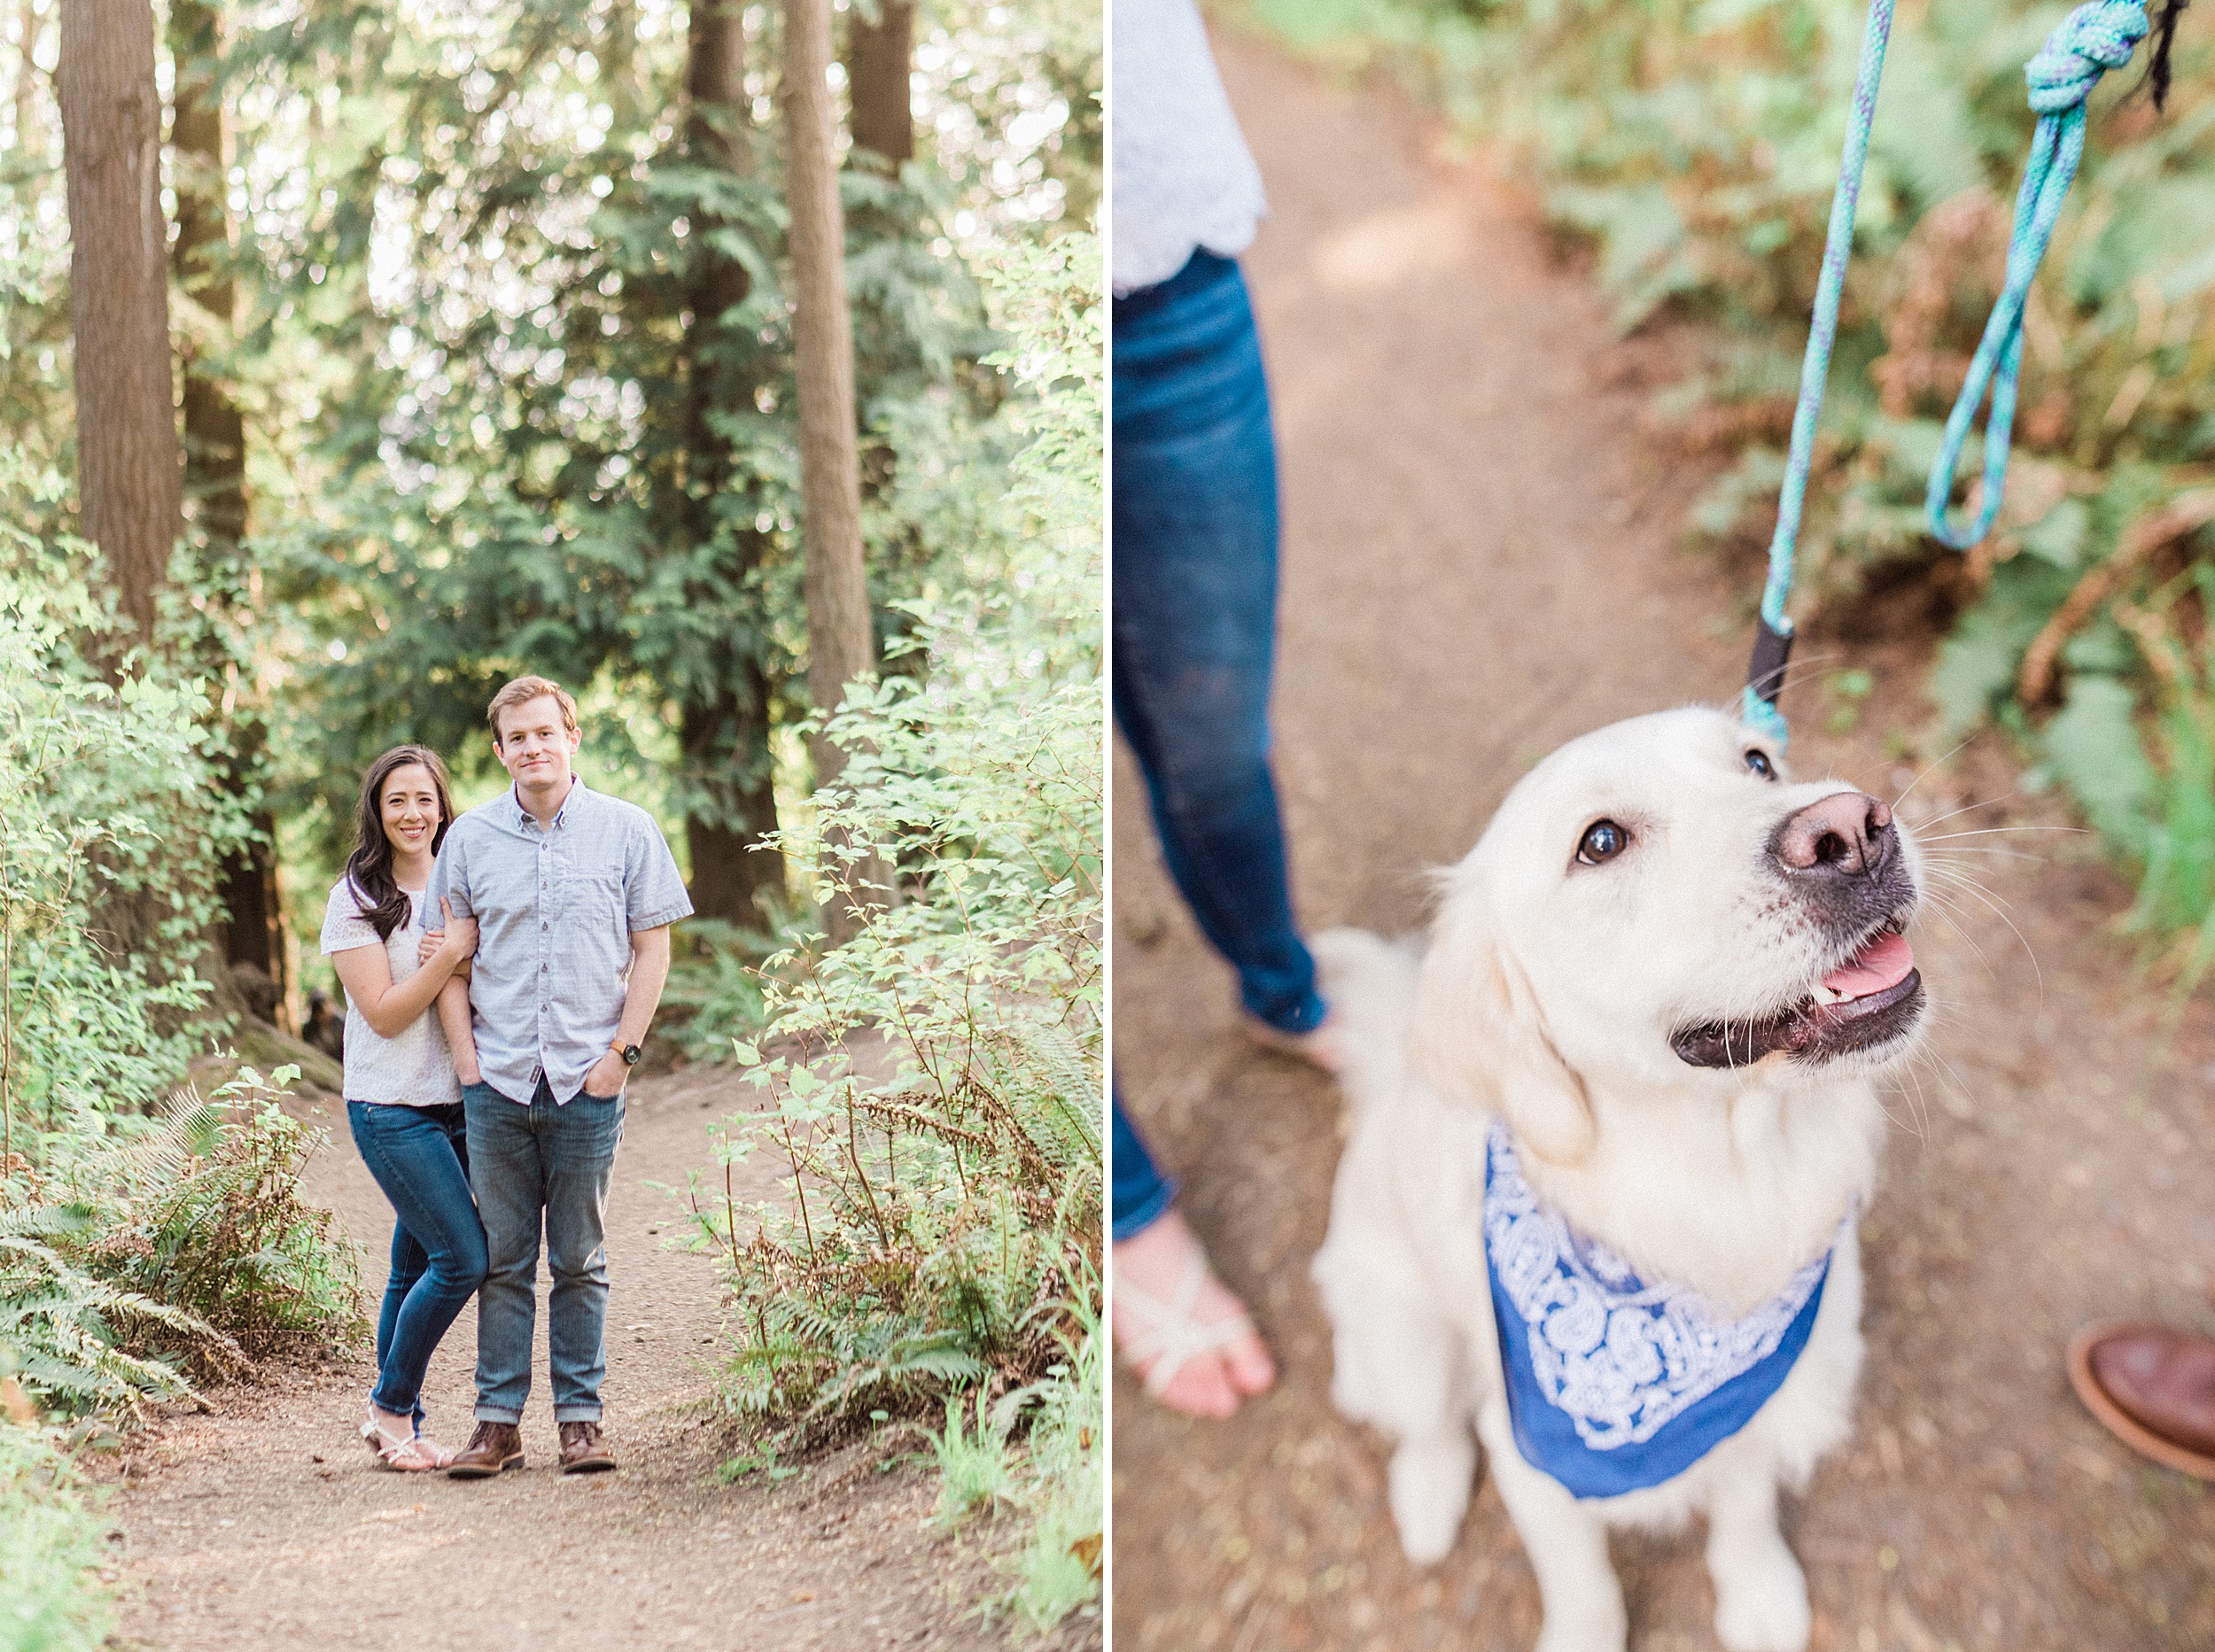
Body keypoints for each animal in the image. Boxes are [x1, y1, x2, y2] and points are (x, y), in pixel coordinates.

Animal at [1311, 704, 1923, 1648]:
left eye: (1759, 761)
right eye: (1600, 842)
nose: (1853, 831)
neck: (1724, 1190)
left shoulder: (1758, 1408)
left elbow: (1744, 1507)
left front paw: (1756, 1595)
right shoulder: (1533, 1455)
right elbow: (1581, 1578)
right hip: (1401, 1333)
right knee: (1426, 1423)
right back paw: (1427, 1496)